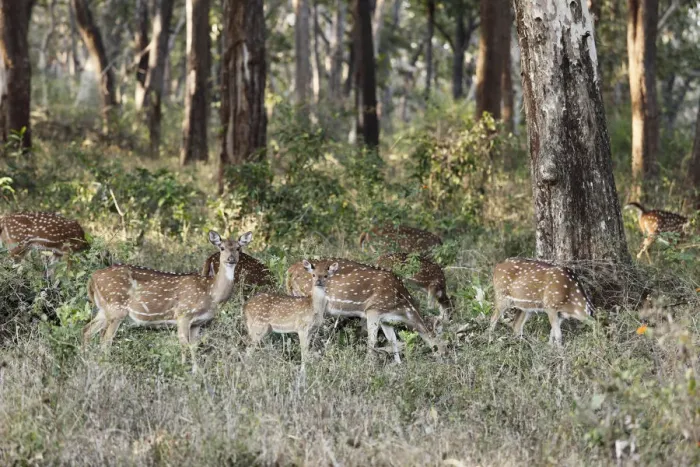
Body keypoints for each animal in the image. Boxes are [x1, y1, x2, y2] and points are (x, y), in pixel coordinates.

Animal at [83, 230, 252, 372]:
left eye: (238, 248)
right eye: (222, 248)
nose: (231, 259)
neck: (211, 293)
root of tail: (92, 278)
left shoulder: (197, 323)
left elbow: (194, 347)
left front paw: (196, 372)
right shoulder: (183, 314)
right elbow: (184, 345)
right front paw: (182, 370)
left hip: (104, 308)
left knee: (87, 330)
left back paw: (87, 362)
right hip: (116, 306)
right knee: (106, 339)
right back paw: (106, 367)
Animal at [285, 258, 443, 363]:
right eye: (442, 346)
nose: (444, 359)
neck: (402, 307)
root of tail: (289, 271)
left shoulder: (386, 319)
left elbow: (392, 340)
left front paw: (399, 365)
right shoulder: (373, 309)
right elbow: (372, 342)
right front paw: (369, 365)